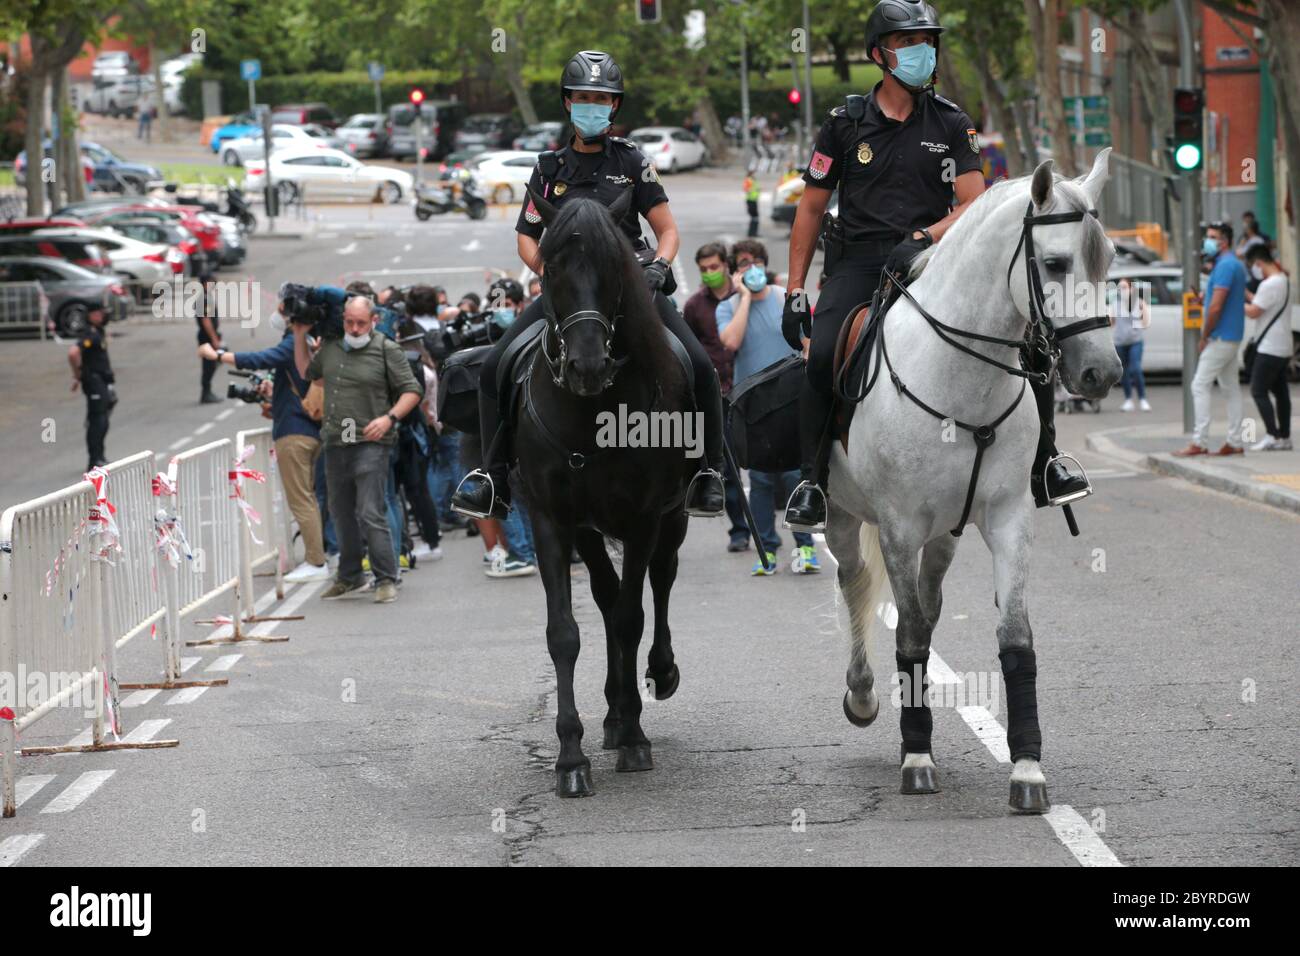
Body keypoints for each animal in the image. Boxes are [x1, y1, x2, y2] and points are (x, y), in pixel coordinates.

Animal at [517, 187, 702, 801]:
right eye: (550, 268)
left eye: (614, 267)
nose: (588, 365)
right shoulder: (552, 519)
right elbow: (565, 633)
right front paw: (570, 757)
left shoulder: (645, 517)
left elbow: (630, 619)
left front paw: (636, 737)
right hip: (591, 530)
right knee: (604, 593)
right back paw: (614, 715)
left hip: (672, 517)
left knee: (659, 583)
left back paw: (654, 680)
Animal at [826, 149, 1123, 816]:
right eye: (1056, 263)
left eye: (1108, 260)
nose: (1103, 372)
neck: (960, 377)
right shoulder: (899, 528)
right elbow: (909, 633)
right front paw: (917, 757)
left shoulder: (1009, 518)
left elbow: (1015, 638)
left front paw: (1028, 768)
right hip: (843, 515)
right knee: (854, 580)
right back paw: (861, 693)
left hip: (947, 531)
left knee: (928, 600)